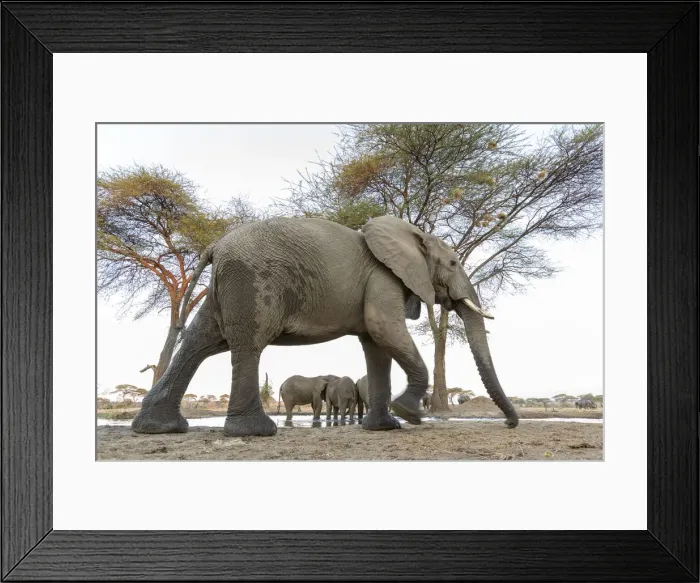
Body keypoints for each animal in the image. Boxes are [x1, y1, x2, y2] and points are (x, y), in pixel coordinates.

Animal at [132, 215, 519, 437]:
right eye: (453, 263)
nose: (509, 424)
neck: (411, 234)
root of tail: (215, 246)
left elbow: (377, 344)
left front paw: (385, 427)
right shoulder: (383, 278)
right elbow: (384, 329)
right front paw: (408, 413)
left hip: (226, 286)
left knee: (200, 342)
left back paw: (158, 429)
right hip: (251, 279)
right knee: (247, 343)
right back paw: (255, 432)